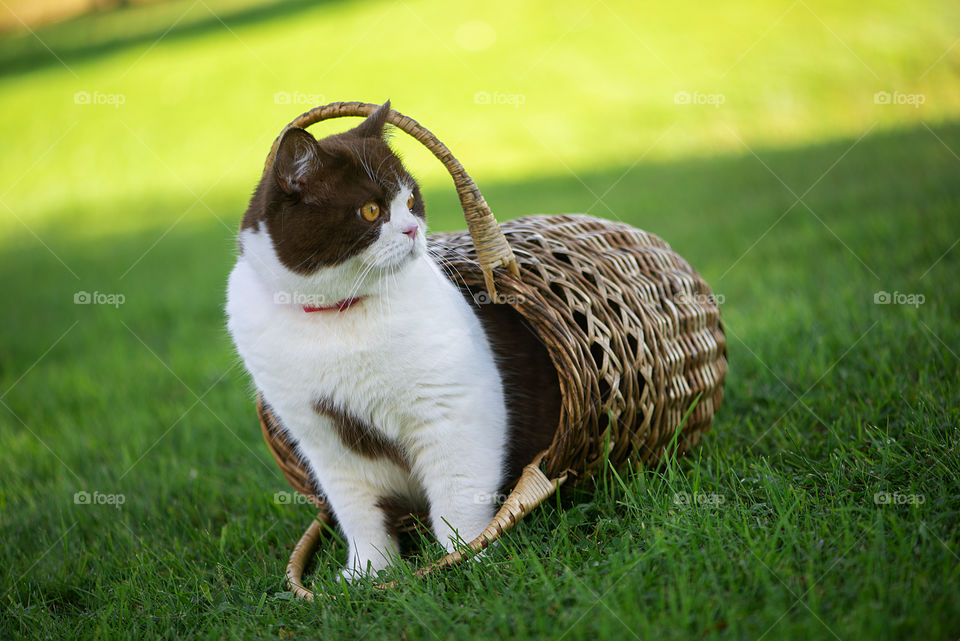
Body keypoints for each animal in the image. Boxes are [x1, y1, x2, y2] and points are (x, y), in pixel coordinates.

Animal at [226, 101, 560, 580]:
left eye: (411, 200)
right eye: (370, 210)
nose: (412, 230)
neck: (340, 315)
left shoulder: (456, 410)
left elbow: (459, 497)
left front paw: (468, 557)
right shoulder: (325, 441)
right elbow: (359, 513)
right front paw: (367, 574)